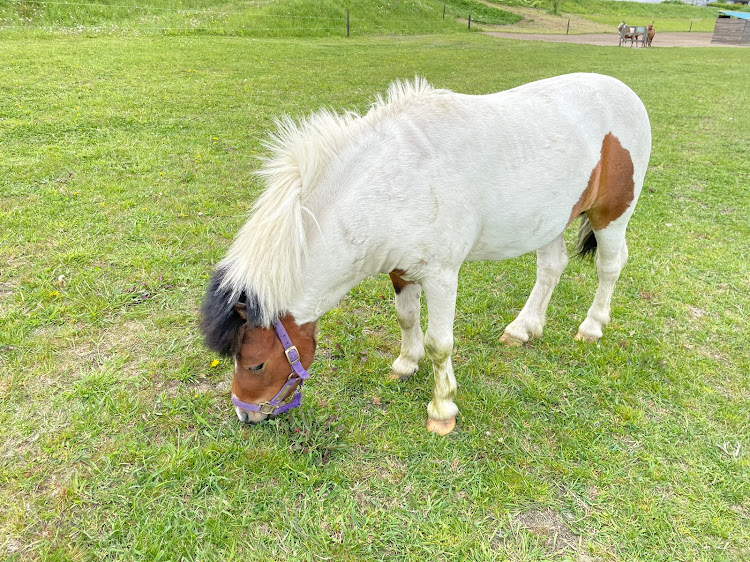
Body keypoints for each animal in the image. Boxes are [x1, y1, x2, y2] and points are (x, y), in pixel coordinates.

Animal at [200, 73, 652, 434]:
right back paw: (524, 329)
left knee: (610, 267)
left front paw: (442, 409)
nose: (245, 415)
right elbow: (406, 318)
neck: (395, 182)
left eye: (256, 364)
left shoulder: (441, 275)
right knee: (551, 267)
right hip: (551, 219)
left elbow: (440, 343)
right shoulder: (401, 269)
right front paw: (405, 364)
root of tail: (624, 91)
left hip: (612, 216)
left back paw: (591, 327)